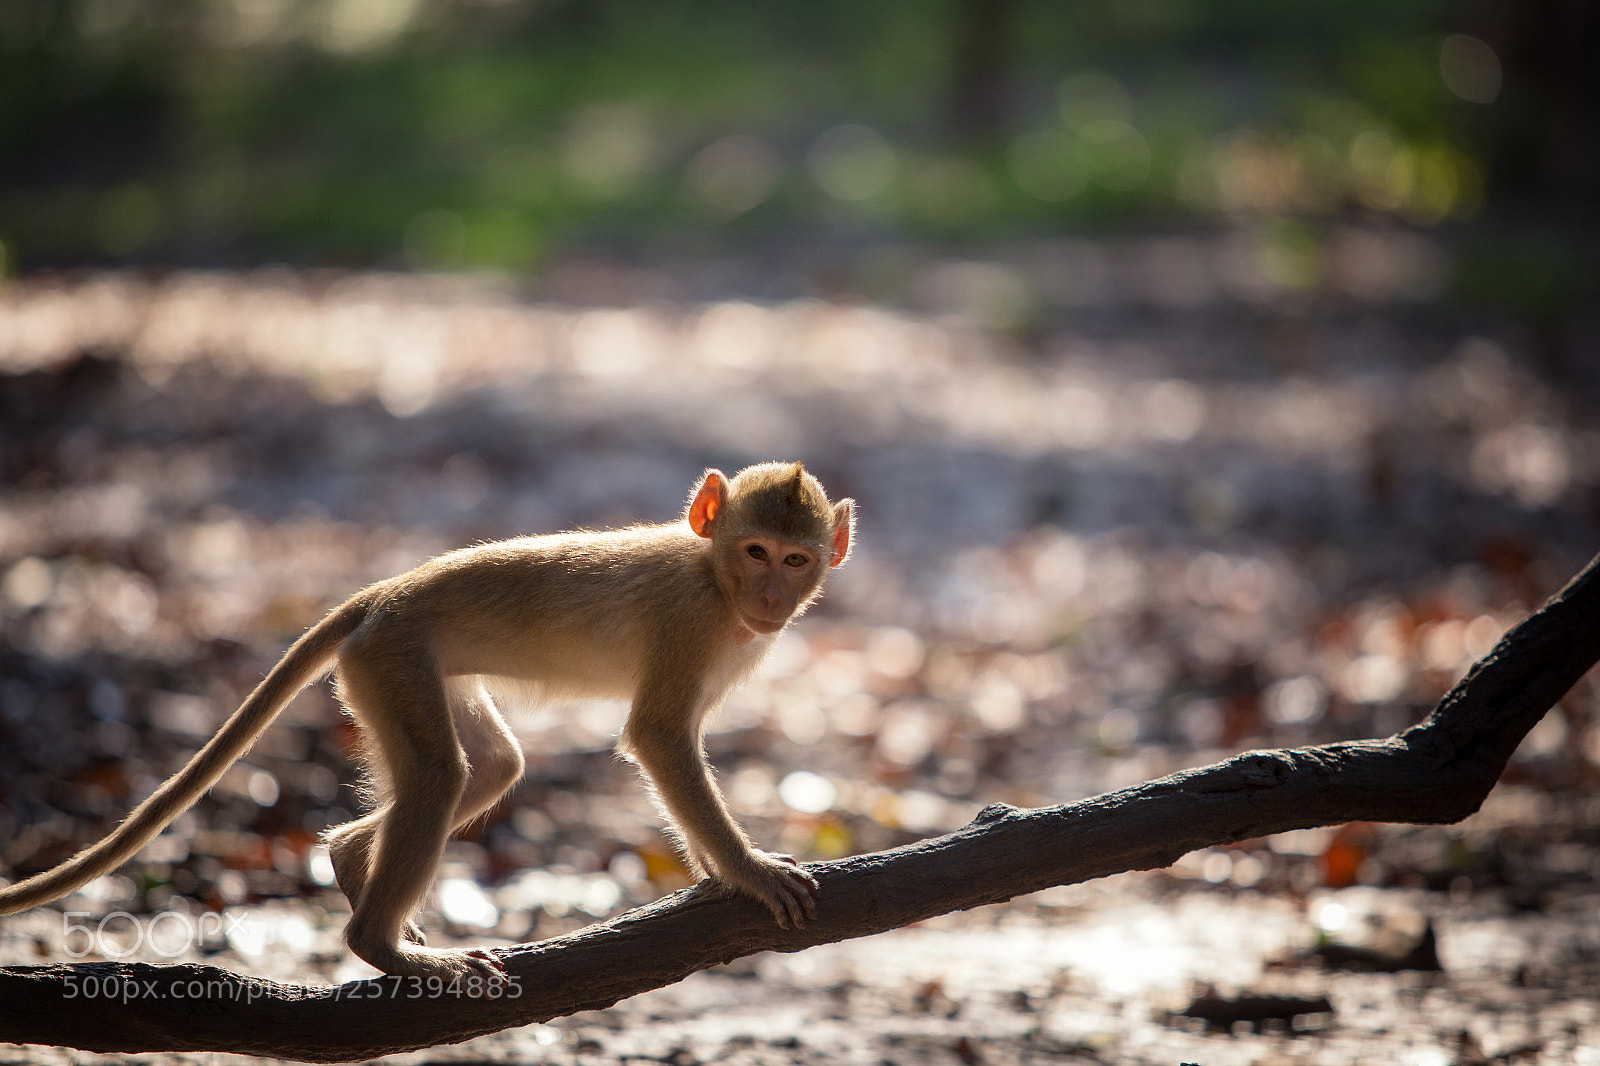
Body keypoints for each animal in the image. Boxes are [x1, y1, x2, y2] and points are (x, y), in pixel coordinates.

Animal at [0, 461, 854, 980]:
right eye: (755, 550)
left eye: (795, 560)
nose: (772, 597)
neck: (715, 578)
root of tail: (379, 597)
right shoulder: (690, 624)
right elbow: (659, 739)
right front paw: (748, 870)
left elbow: (669, 746)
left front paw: (718, 871)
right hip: (394, 658)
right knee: (444, 776)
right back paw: (379, 944)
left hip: (401, 672)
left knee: (491, 766)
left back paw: (351, 859)